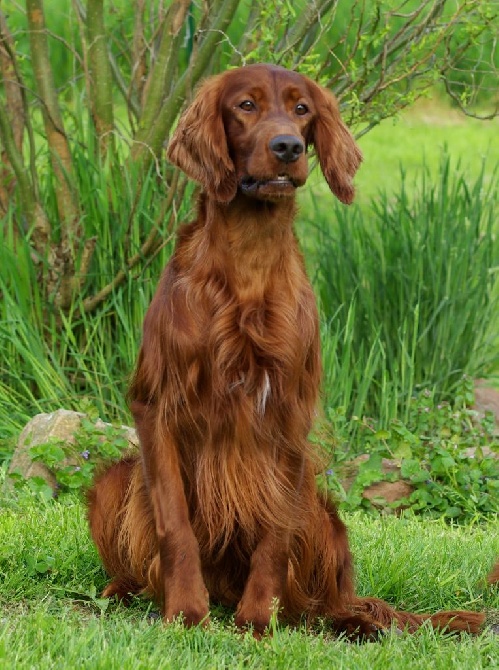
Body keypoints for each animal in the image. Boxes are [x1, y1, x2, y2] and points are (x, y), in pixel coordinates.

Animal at [88, 65, 498, 644]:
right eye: (245, 105)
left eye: (302, 109)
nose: (286, 147)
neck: (248, 261)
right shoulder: (156, 404)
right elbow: (175, 523)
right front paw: (185, 613)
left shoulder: (288, 411)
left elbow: (274, 533)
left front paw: (258, 621)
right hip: (113, 480)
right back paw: (126, 591)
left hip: (321, 508)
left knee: (328, 600)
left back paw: (350, 621)